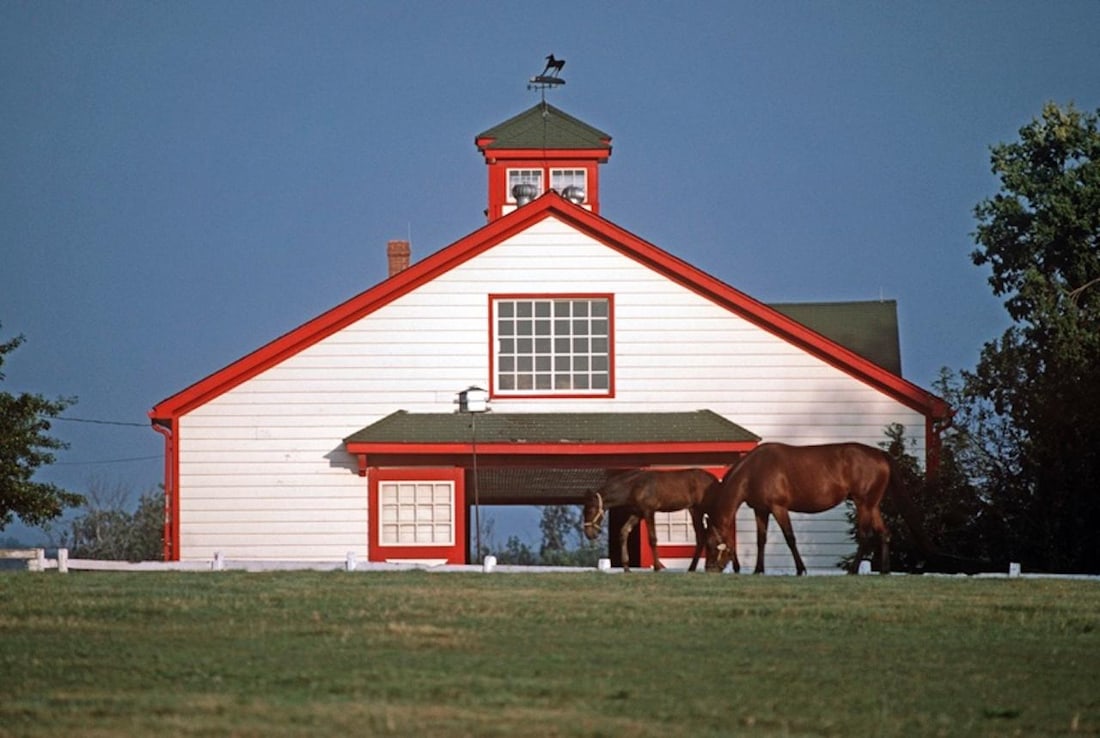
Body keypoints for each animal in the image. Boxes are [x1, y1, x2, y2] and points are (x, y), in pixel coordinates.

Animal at [582, 468, 719, 573]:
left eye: (590, 510)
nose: (589, 534)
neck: (634, 486)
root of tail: (714, 480)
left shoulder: (649, 511)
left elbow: (652, 539)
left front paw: (657, 567)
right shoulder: (637, 513)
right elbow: (624, 532)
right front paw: (626, 567)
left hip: (699, 510)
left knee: (704, 536)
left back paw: (696, 567)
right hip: (696, 511)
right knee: (703, 536)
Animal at [704, 442, 926, 575]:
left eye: (711, 544)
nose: (709, 569)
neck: (754, 470)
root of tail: (880, 454)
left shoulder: (779, 508)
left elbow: (790, 538)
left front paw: (801, 569)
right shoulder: (761, 510)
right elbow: (761, 540)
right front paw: (759, 570)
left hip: (864, 504)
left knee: (865, 535)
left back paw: (853, 570)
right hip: (872, 505)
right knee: (884, 533)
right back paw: (884, 571)